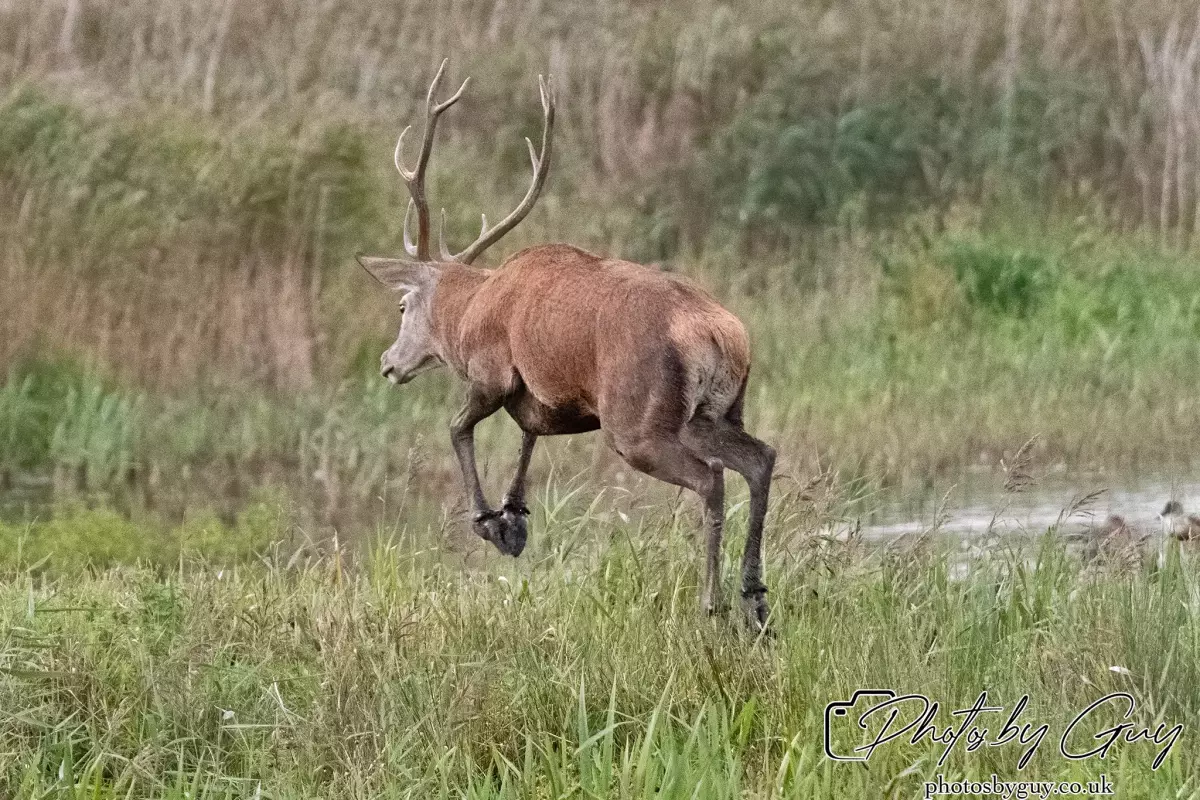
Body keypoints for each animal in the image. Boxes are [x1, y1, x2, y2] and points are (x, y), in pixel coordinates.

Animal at [356, 61, 777, 630]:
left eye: (402, 306)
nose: (387, 363)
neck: (469, 313)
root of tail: (718, 333)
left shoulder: (490, 371)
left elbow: (458, 427)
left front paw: (488, 520)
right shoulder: (551, 396)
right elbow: (529, 433)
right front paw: (513, 518)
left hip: (637, 419)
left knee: (710, 478)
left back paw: (711, 603)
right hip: (716, 410)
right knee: (760, 458)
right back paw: (754, 597)